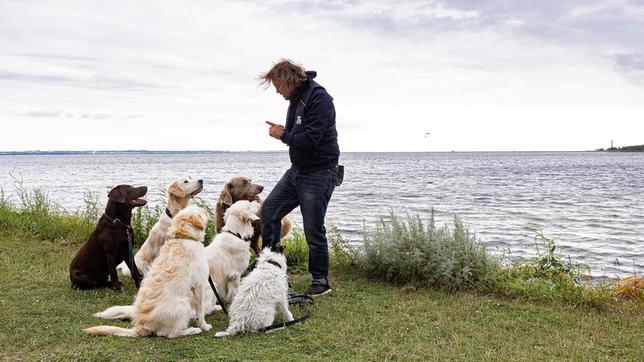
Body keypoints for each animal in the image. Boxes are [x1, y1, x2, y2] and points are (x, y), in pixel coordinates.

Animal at [85, 206, 211, 340]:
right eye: (200, 211)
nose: (205, 208)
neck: (185, 237)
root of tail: (141, 326)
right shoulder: (199, 285)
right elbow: (200, 310)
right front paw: (204, 325)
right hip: (183, 304)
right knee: (170, 334)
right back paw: (192, 330)